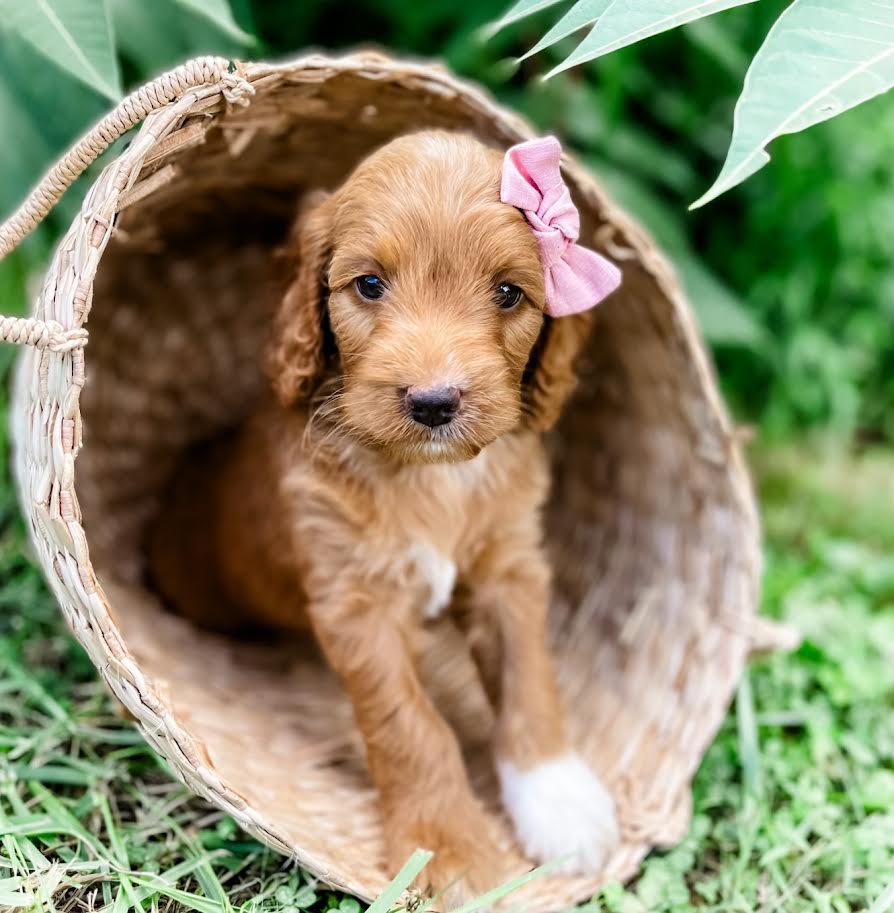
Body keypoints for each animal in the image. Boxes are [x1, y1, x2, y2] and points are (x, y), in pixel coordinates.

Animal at [149, 130, 624, 904]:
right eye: (369, 285)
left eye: (508, 292)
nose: (433, 402)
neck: (431, 476)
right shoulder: (355, 600)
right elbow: (411, 725)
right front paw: (448, 849)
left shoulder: (510, 568)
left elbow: (530, 680)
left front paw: (559, 800)